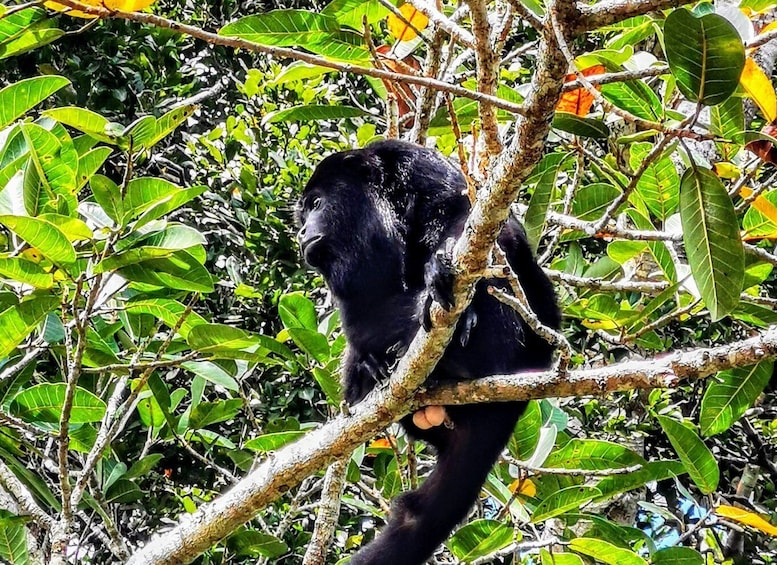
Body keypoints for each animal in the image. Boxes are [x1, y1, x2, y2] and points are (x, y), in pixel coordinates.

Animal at [294, 138, 556, 564]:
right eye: (302, 213)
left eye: (316, 204)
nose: (302, 230)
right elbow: (357, 313)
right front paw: (371, 361)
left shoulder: (415, 162)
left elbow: (470, 216)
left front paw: (440, 265)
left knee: (498, 259)